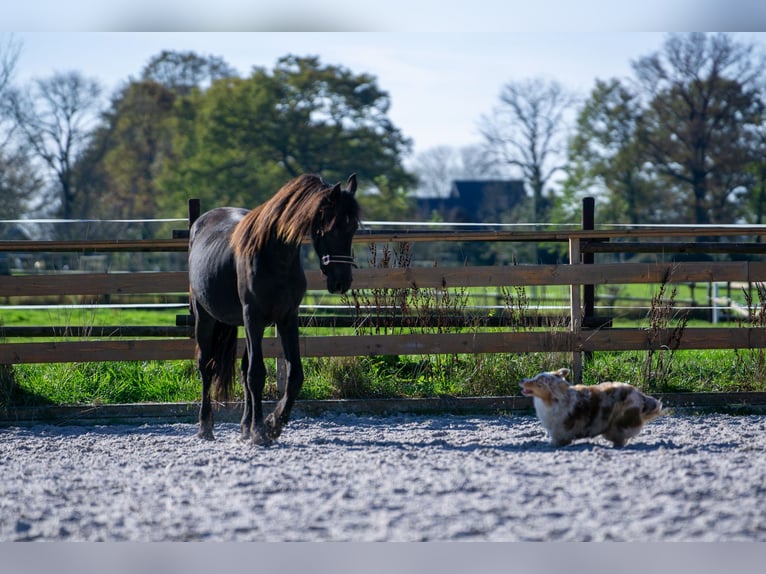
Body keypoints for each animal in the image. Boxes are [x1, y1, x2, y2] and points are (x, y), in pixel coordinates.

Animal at [190, 173, 362, 448]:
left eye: (354, 228)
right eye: (332, 228)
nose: (341, 282)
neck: (275, 255)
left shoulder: (287, 318)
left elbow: (294, 375)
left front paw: (271, 425)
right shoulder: (254, 317)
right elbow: (257, 374)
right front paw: (261, 431)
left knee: (242, 369)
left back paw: (245, 428)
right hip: (205, 318)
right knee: (206, 367)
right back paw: (206, 427)